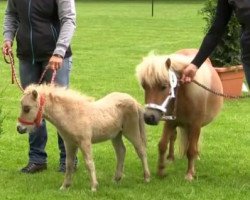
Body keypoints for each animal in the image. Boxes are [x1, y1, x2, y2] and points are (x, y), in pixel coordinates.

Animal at [16, 84, 149, 191]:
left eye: (27, 108)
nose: (19, 128)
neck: (72, 115)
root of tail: (134, 101)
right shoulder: (69, 143)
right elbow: (69, 163)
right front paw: (64, 186)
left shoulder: (85, 142)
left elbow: (89, 162)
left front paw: (94, 187)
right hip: (116, 135)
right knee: (121, 151)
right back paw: (116, 178)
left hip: (131, 131)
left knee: (141, 150)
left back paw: (147, 177)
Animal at [136, 49, 224, 180]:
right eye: (144, 86)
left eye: (163, 86)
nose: (149, 117)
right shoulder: (169, 122)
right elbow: (162, 145)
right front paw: (161, 170)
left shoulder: (195, 125)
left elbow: (191, 150)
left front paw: (189, 174)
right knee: (173, 138)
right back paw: (170, 158)